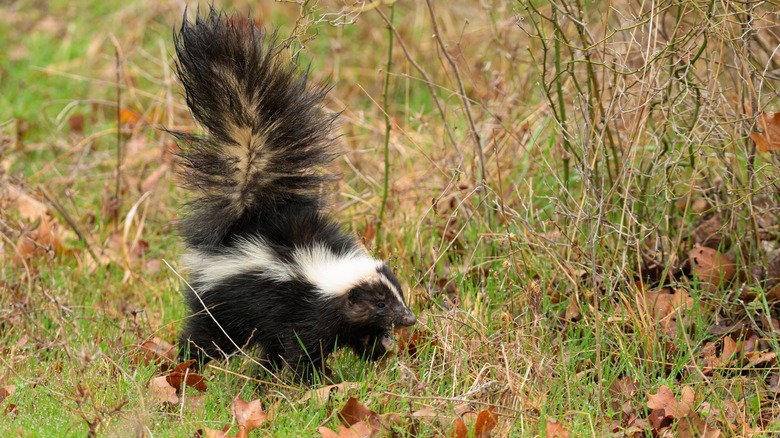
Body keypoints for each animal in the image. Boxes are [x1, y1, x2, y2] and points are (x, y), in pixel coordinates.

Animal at [170, 6, 414, 376]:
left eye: (397, 295)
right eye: (380, 304)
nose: (409, 319)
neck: (326, 274)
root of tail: (248, 218)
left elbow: (356, 339)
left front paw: (379, 349)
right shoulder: (302, 307)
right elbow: (304, 346)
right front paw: (313, 380)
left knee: (263, 344)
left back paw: (262, 373)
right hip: (224, 300)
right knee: (208, 334)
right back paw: (187, 364)